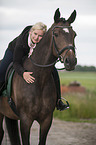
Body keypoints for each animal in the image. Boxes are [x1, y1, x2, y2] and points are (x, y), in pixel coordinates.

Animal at [0, 8, 76, 145]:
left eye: (74, 35)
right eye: (56, 34)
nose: (71, 61)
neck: (39, 80)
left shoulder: (46, 120)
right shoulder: (25, 120)